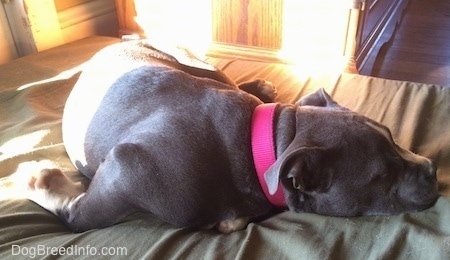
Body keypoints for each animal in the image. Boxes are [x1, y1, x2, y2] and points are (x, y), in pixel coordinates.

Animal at [26, 39, 438, 233]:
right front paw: (42, 183)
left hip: (204, 69)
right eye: (382, 175)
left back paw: (262, 87)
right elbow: (78, 216)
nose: (433, 169)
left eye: (395, 138)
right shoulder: (129, 168)